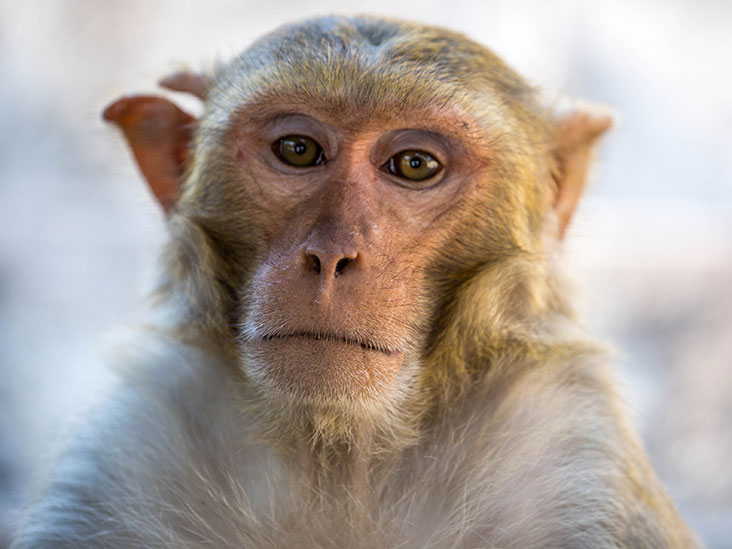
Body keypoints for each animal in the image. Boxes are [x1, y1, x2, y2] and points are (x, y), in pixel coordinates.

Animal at [13, 15, 699, 549]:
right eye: (297, 150)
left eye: (414, 165)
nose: (332, 255)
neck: (338, 457)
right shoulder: (123, 449)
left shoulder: (571, 455)